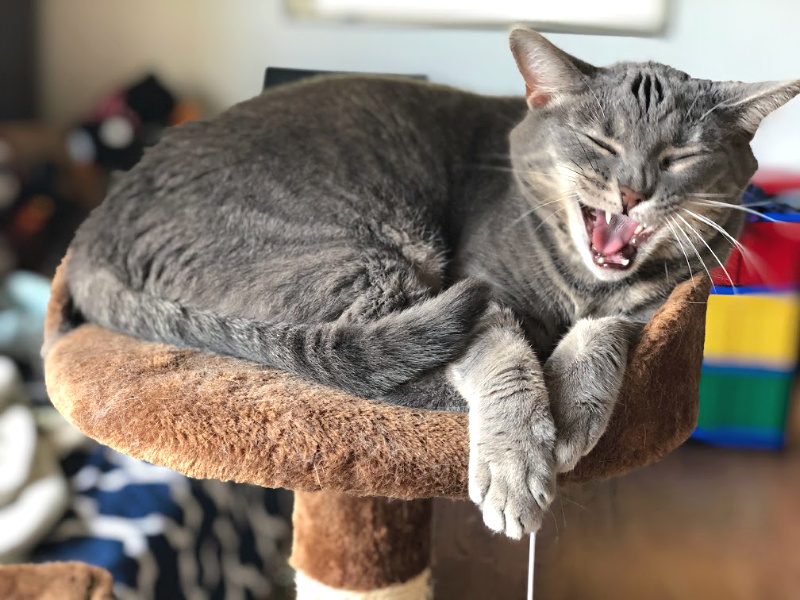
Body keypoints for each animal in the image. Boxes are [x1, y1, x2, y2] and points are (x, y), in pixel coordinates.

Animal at [67, 29, 800, 540]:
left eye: (681, 157)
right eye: (600, 143)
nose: (631, 191)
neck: (582, 282)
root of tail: (96, 226)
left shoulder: (662, 298)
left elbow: (606, 332)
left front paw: (576, 404)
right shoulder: (483, 288)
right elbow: (506, 356)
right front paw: (520, 461)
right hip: (366, 257)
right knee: (385, 369)